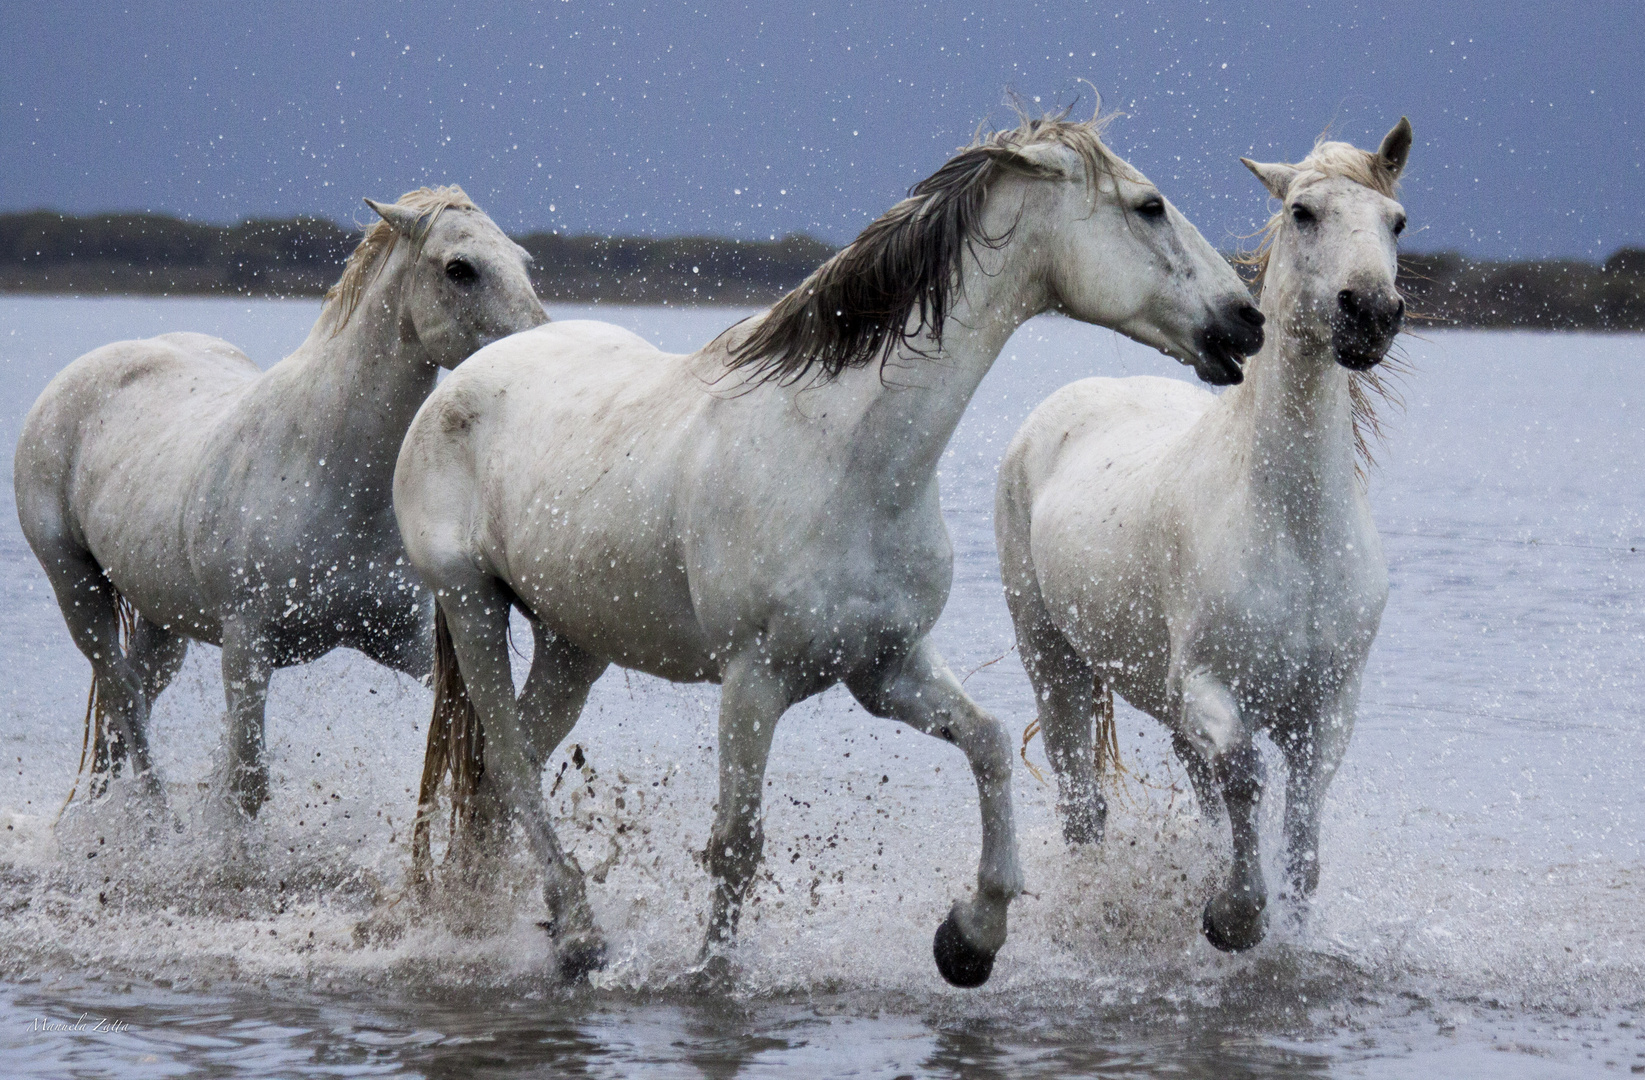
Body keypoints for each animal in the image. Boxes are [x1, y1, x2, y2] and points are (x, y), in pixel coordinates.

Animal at [391, 109, 1263, 986]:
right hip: (472, 605)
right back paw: (576, 934)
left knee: (502, 777)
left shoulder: (884, 666)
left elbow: (987, 744)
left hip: (574, 642)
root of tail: (462, 381)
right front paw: (710, 975)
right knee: (506, 763)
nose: (1245, 320)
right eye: (1147, 206)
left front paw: (969, 937)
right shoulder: (753, 680)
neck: (840, 451)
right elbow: (736, 843)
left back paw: (502, 917)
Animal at [993, 115, 1408, 946]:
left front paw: (1277, 922)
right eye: (1302, 213)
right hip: (1051, 660)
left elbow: (1300, 835)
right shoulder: (1210, 689)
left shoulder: (1327, 708)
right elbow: (1245, 774)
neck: (1294, 531)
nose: (1370, 313)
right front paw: (1232, 917)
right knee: (1083, 803)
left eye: (1396, 221)